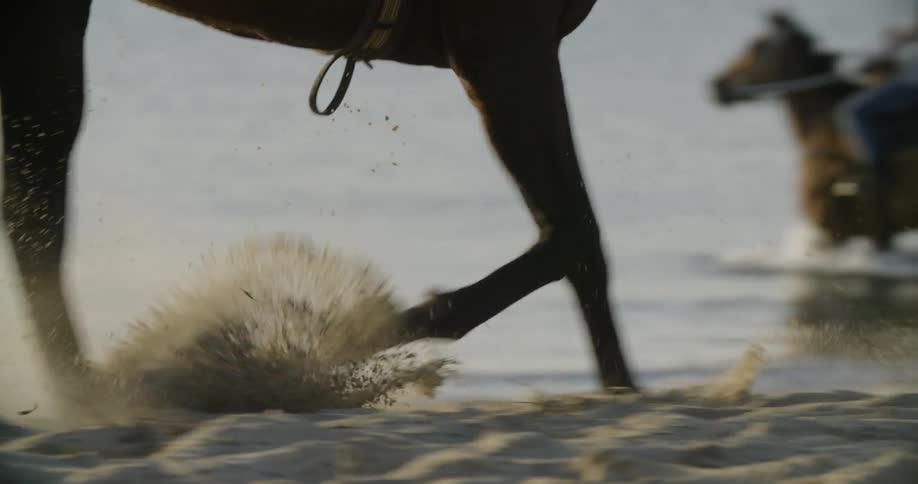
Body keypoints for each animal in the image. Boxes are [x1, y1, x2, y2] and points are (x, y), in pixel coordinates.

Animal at [1, 1, 637, 392]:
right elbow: (572, 236)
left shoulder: (520, 47)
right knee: (39, 207)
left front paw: (620, 390)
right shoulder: (500, 43)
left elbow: (576, 243)